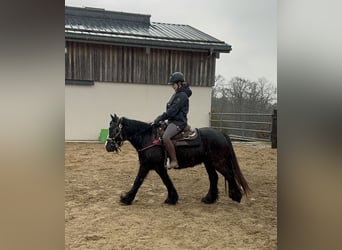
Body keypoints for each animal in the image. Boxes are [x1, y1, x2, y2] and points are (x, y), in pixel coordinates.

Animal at [105, 114, 250, 206]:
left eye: (113, 129)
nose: (107, 146)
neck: (148, 138)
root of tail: (221, 134)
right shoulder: (158, 167)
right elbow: (166, 181)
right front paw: (172, 198)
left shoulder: (147, 165)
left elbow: (138, 181)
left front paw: (126, 199)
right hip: (209, 163)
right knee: (214, 178)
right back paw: (209, 199)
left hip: (217, 162)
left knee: (229, 175)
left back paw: (236, 196)